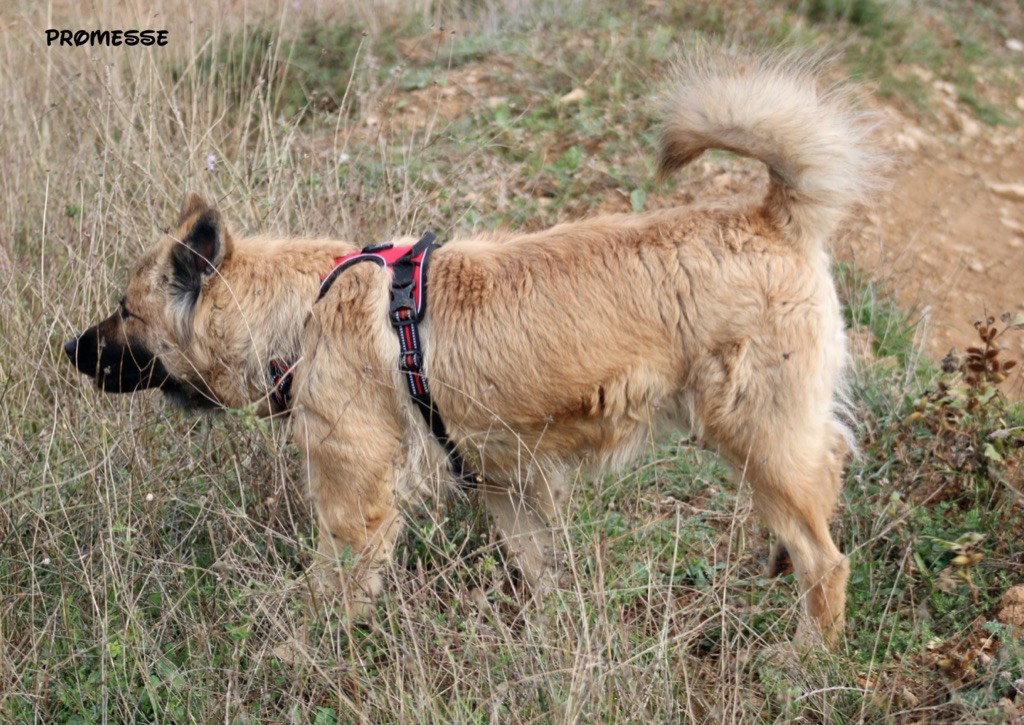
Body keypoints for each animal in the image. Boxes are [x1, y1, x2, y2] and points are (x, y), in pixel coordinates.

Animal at [64, 55, 872, 647]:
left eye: (125, 310)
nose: (68, 349)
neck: (306, 309)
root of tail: (769, 218)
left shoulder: (355, 505)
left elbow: (329, 593)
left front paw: (300, 653)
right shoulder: (508, 484)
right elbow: (542, 568)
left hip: (756, 432)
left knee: (828, 559)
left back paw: (806, 655)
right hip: (774, 438)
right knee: (826, 473)